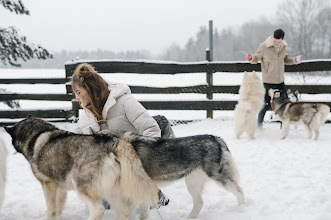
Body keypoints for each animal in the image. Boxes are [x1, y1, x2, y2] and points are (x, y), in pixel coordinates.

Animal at [5, 116, 170, 219]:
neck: (36, 135)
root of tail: (114, 142)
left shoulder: (48, 184)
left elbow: (51, 209)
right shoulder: (61, 188)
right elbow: (58, 208)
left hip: (83, 187)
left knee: (99, 209)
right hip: (112, 191)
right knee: (124, 212)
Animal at [96, 129, 246, 218]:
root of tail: (216, 138)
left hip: (220, 178)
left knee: (240, 190)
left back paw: (242, 209)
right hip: (192, 183)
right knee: (199, 202)